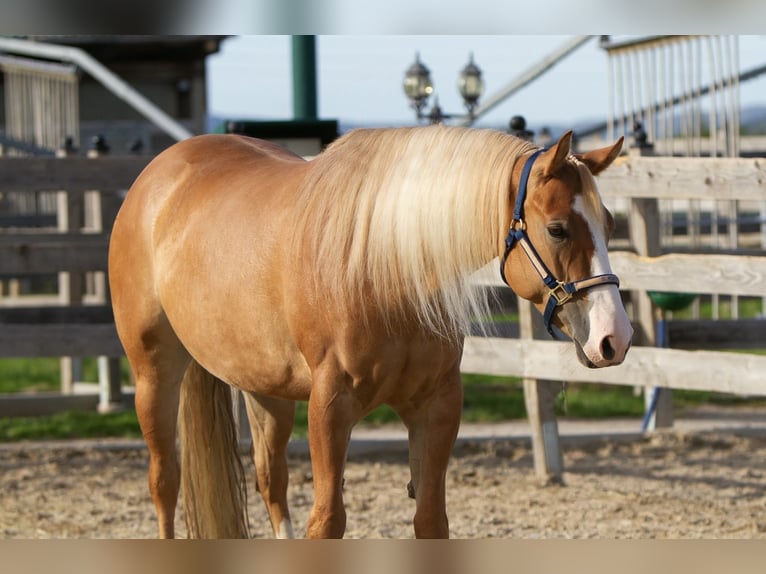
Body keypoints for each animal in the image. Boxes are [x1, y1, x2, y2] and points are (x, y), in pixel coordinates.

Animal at [108, 125, 632, 539]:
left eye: (609, 224)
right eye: (558, 228)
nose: (615, 338)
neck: (386, 264)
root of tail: (160, 173)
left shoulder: (436, 406)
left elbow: (430, 520)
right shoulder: (330, 408)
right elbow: (327, 521)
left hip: (265, 389)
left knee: (270, 483)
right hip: (154, 373)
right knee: (164, 481)